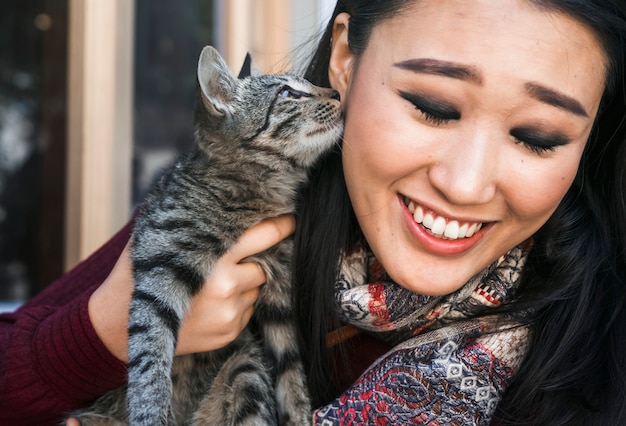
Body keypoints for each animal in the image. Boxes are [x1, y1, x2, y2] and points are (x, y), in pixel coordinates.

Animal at [69, 45, 342, 424]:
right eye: (288, 94)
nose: (337, 93)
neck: (258, 195)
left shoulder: (278, 298)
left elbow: (291, 372)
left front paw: (300, 415)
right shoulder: (158, 270)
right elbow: (150, 353)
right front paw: (150, 412)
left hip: (246, 369)